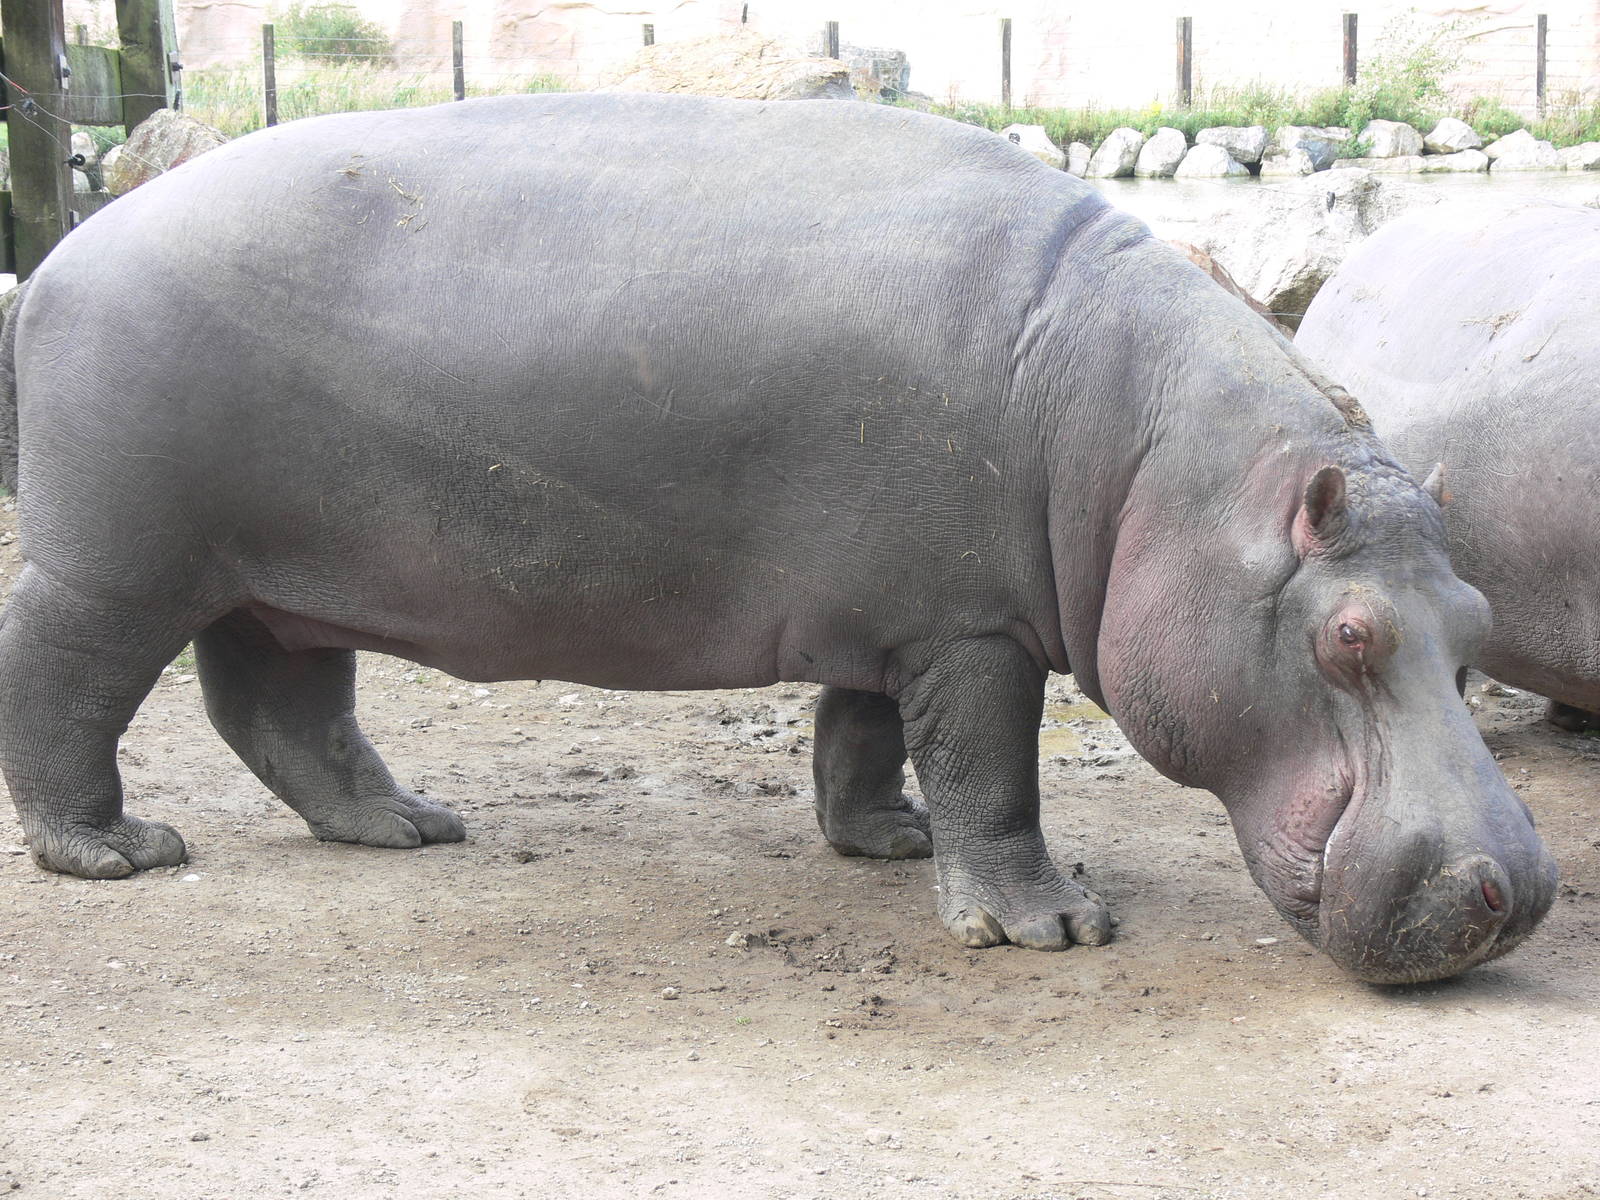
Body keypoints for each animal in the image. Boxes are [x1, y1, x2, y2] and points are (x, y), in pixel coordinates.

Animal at [0, 93, 1557, 983]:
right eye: (1346, 636)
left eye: (1479, 629)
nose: (1520, 894)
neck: (1158, 468)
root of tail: (64, 252)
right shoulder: (973, 629)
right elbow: (994, 772)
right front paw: (1048, 927)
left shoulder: (895, 616)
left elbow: (862, 739)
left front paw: (884, 843)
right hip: (119, 562)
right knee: (66, 680)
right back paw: (116, 852)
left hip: (276, 579)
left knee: (283, 707)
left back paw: (409, 827)